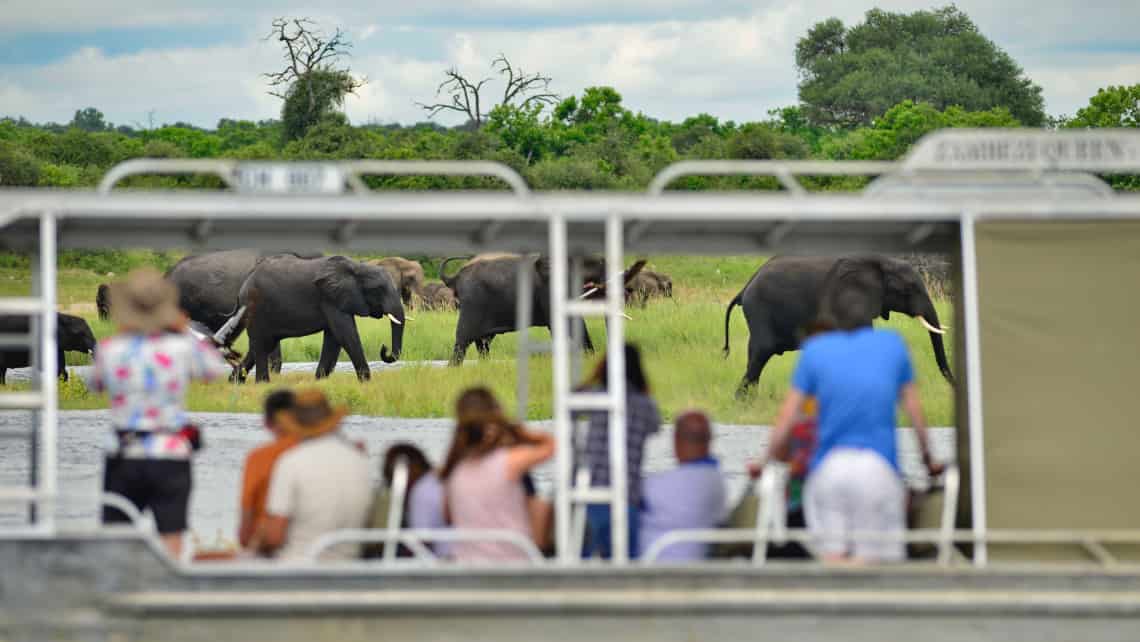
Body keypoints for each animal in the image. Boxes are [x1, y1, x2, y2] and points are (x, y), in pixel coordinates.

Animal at [440, 255, 647, 367]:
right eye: (598, 273)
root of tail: (454, 278)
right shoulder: (552, 289)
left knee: (483, 343)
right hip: (472, 305)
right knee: (463, 341)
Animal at [720, 255, 953, 396]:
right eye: (909, 289)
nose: (953, 385)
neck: (881, 262)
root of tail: (745, 287)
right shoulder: (851, 302)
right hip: (760, 309)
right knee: (761, 352)